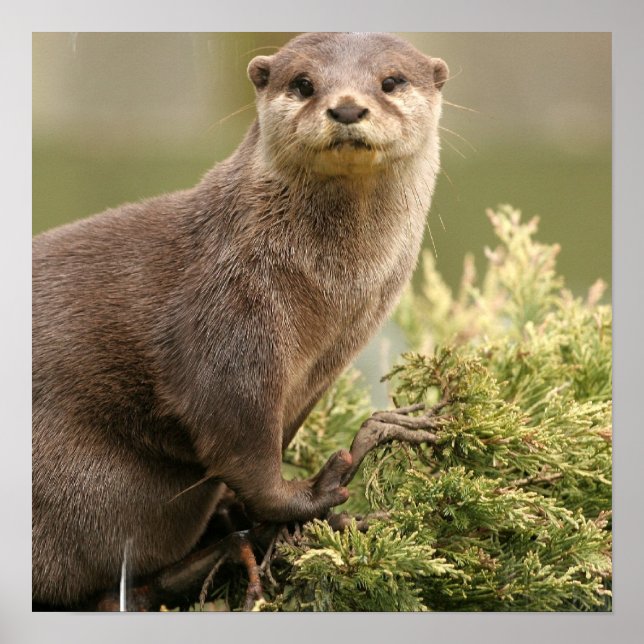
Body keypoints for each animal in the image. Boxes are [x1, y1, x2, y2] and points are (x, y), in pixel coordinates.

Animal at [32, 32, 448, 607]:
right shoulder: (231, 316)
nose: (346, 107)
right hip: (89, 492)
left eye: (391, 81)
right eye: (304, 83)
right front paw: (314, 492)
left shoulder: (322, 366)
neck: (330, 290)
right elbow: (241, 440)